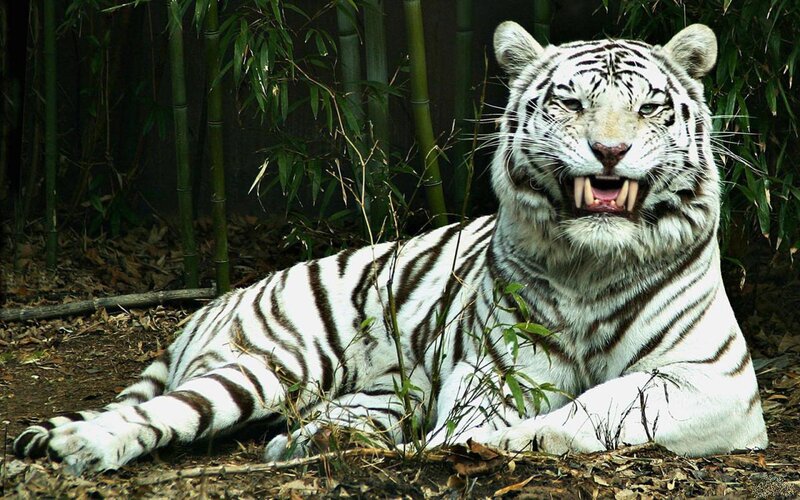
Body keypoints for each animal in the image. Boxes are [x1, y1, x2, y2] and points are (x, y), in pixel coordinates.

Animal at [13, 21, 768, 475]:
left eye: (648, 108)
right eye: (570, 103)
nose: (609, 151)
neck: (590, 261)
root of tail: (217, 299)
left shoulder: (710, 379)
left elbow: (591, 413)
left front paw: (470, 446)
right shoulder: (496, 369)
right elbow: (504, 413)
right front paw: (458, 444)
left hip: (368, 393)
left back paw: (317, 442)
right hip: (267, 365)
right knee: (170, 409)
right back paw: (86, 445)